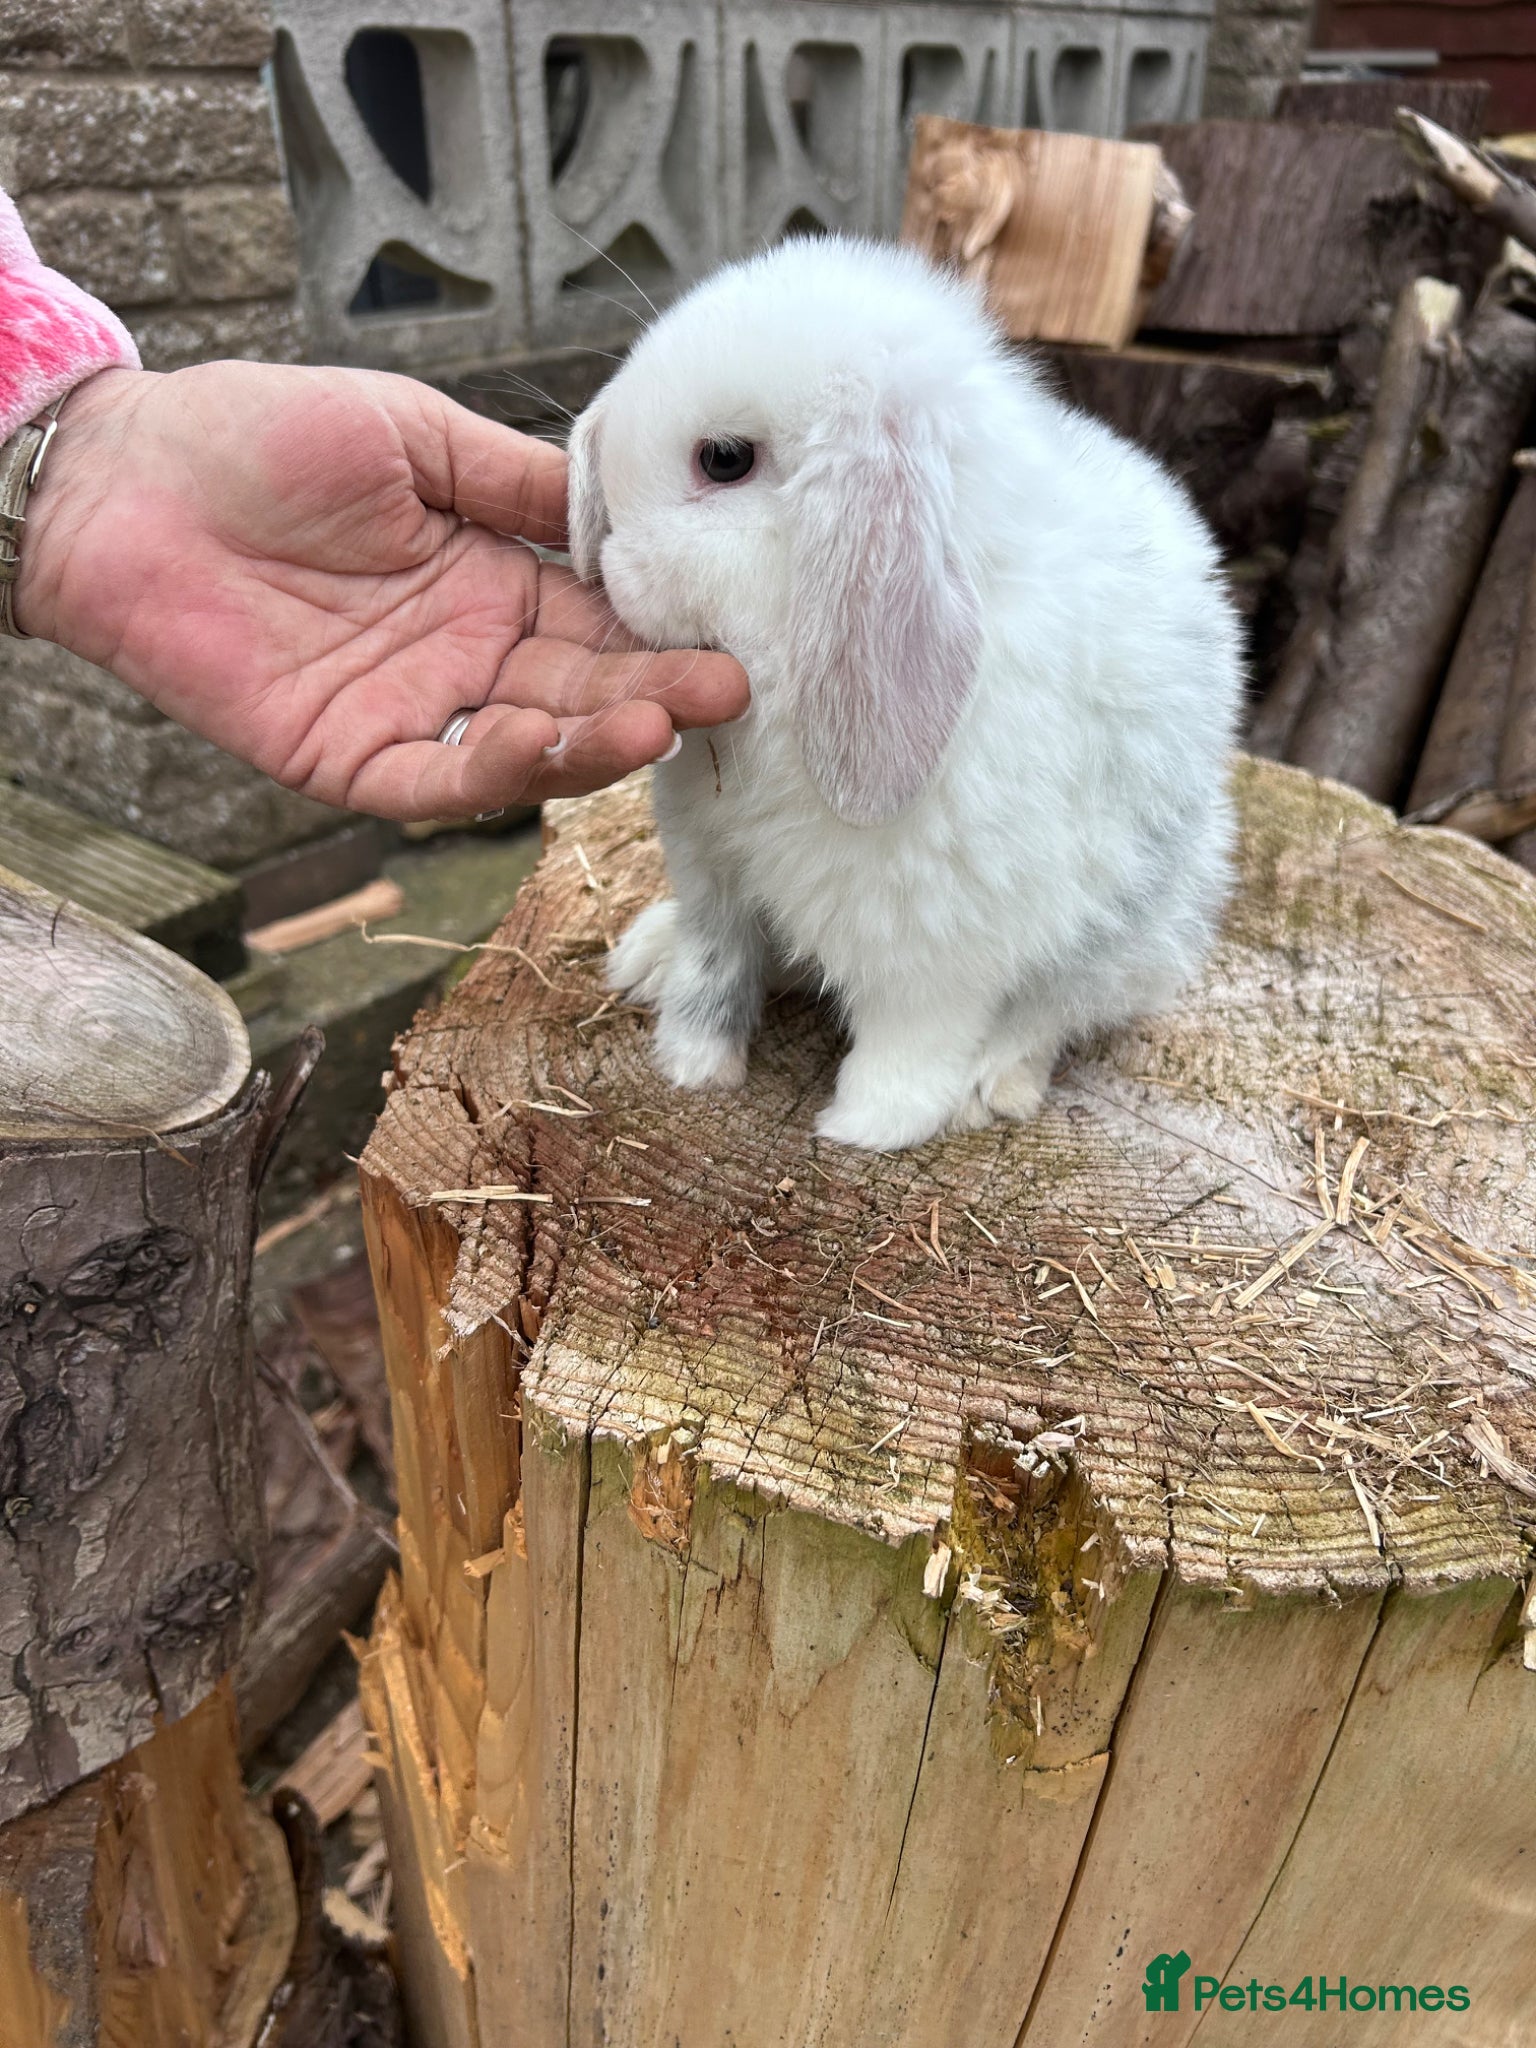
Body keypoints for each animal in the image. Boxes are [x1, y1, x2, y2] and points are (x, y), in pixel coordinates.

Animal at [565, 235, 1242, 1152]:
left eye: (725, 459)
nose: (610, 567)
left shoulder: (933, 941)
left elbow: (912, 1035)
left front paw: (867, 1125)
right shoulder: (713, 865)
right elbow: (717, 962)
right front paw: (693, 1063)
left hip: (1136, 931)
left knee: (1054, 1010)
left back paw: (992, 1087)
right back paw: (646, 954)